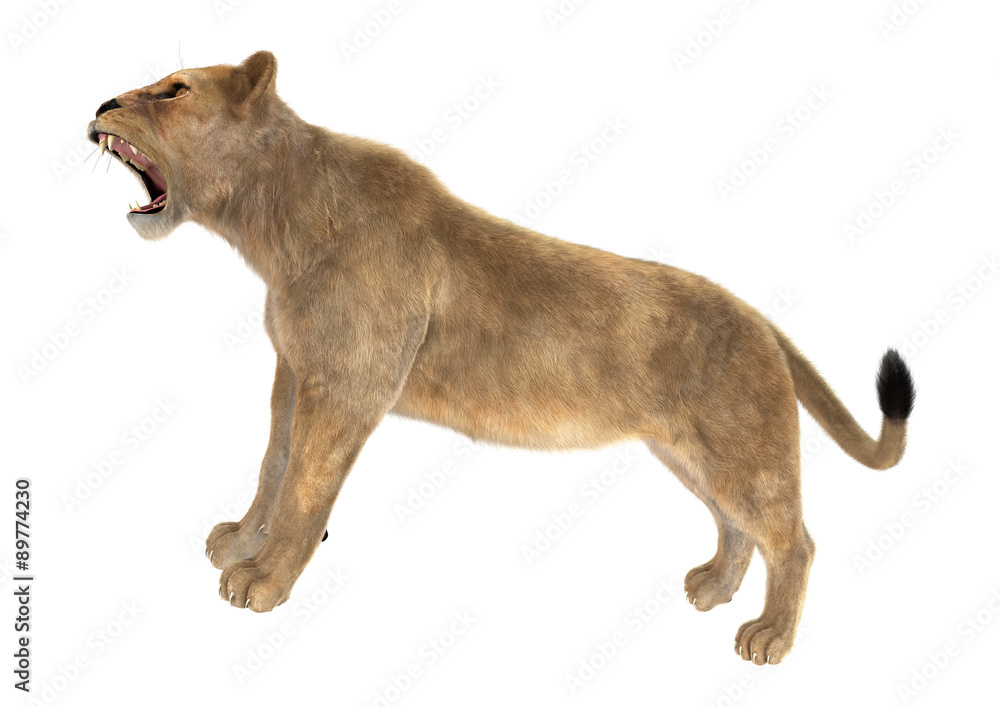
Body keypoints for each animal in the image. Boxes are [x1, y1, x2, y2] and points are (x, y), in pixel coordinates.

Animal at [86, 51, 914, 665]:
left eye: (174, 89)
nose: (99, 107)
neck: (269, 221)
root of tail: (764, 323)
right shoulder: (295, 371)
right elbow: (273, 464)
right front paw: (240, 539)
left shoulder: (347, 387)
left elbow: (305, 487)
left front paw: (263, 581)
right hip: (692, 453)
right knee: (737, 526)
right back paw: (712, 586)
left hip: (745, 453)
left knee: (794, 539)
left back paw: (769, 635)